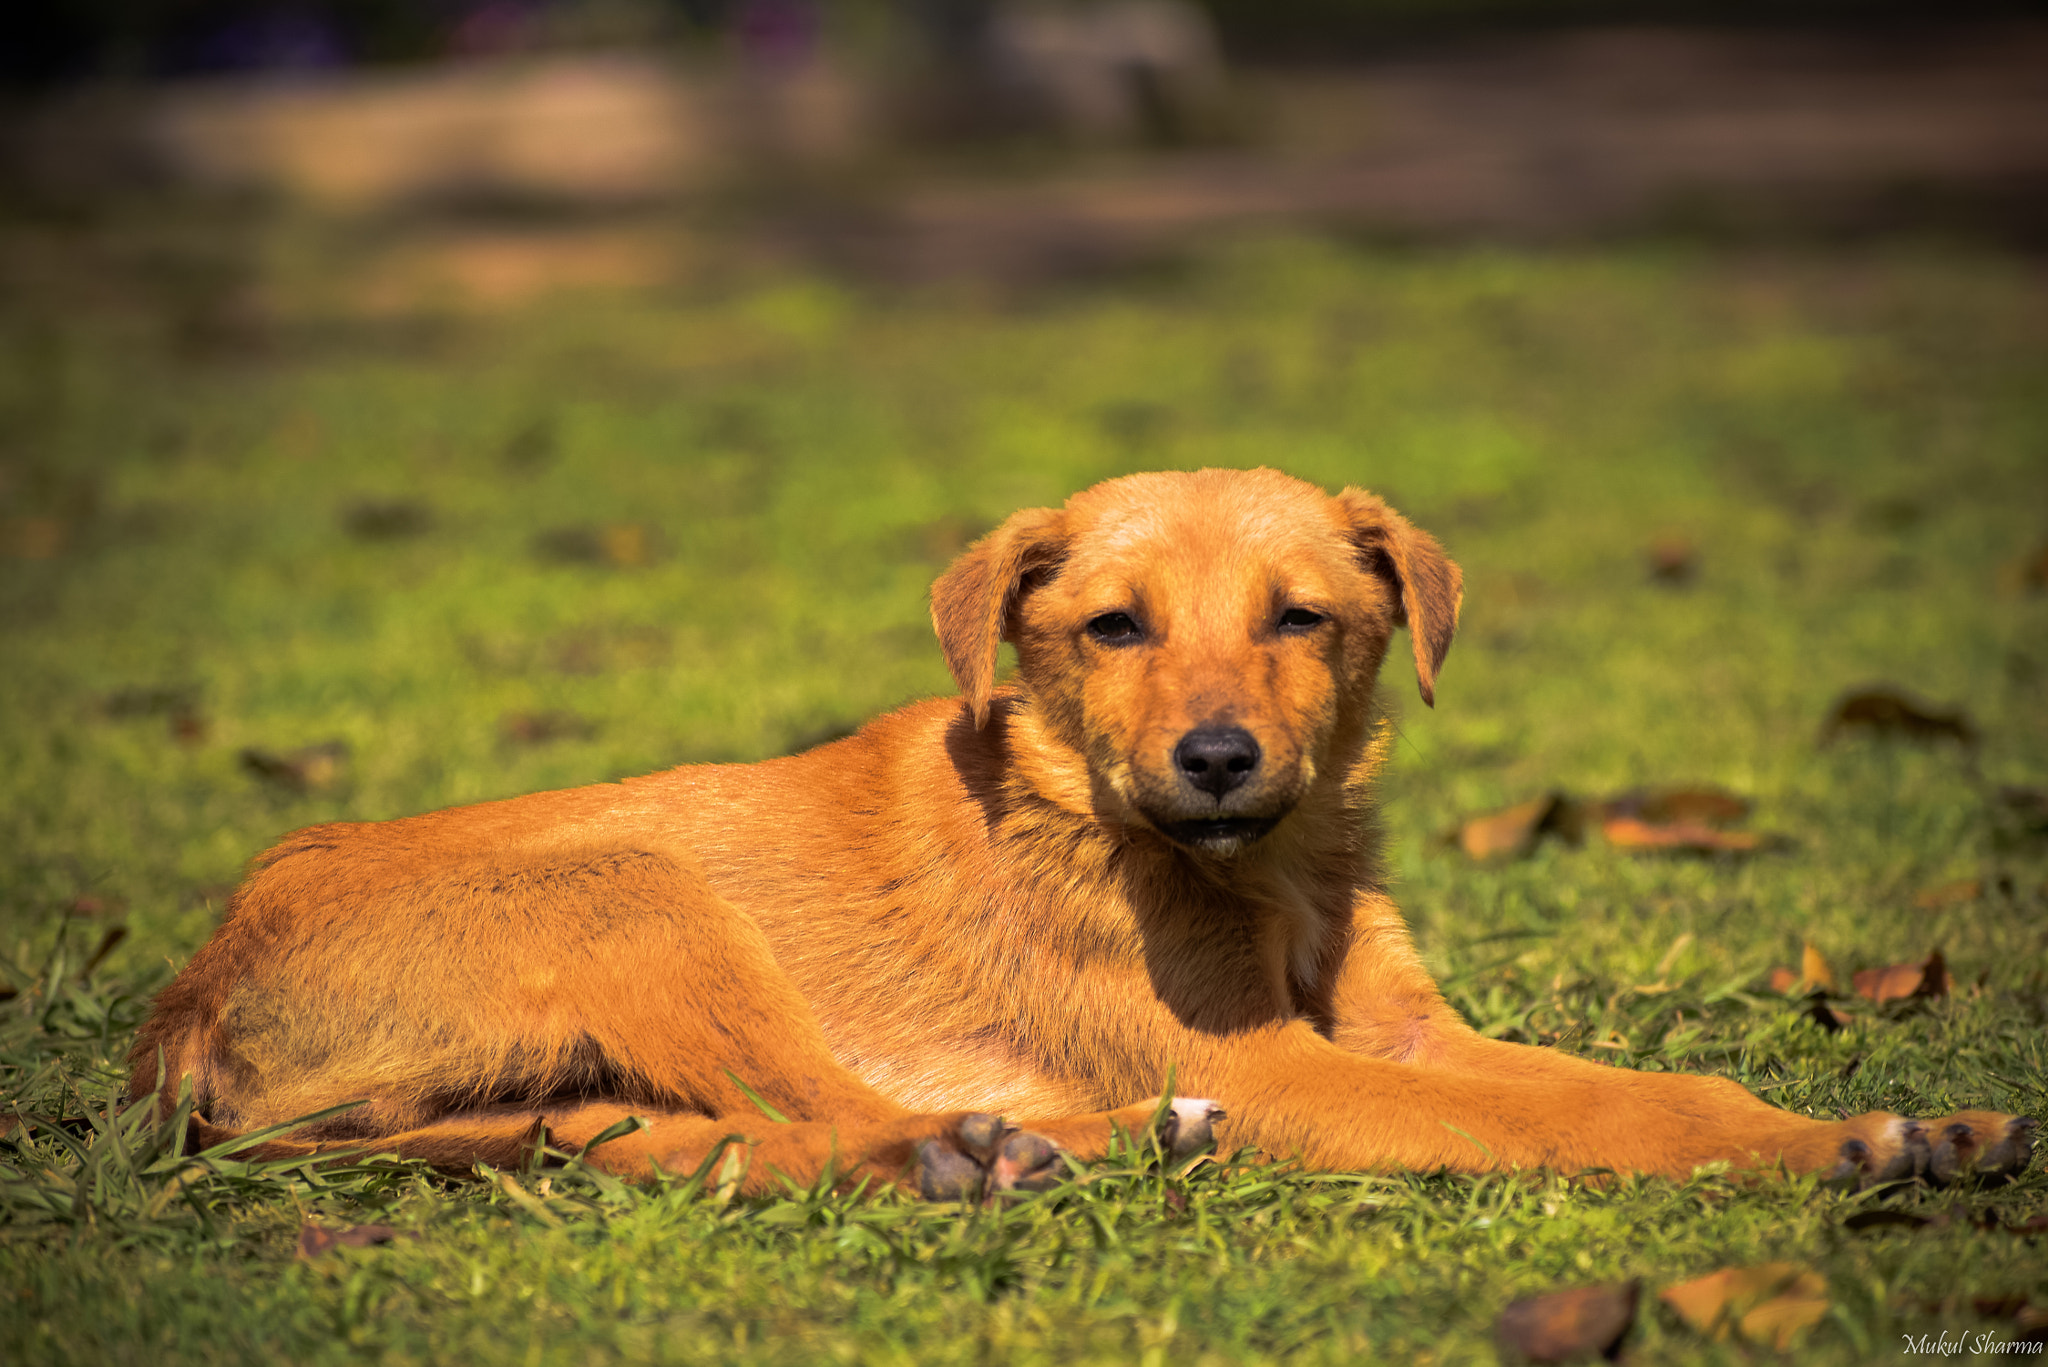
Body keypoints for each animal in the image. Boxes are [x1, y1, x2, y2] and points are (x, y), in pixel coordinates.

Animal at [128, 471, 2031, 1196]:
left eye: (1304, 618)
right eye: (1110, 627)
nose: (1217, 757)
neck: (1261, 878)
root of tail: (188, 999)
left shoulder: (1400, 1028)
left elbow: (1629, 1086)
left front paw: (1892, 1123)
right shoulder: (1275, 1063)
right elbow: (1538, 1123)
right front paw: (1823, 1147)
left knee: (663, 1134)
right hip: (646, 894)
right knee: (829, 1113)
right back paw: (1009, 1147)